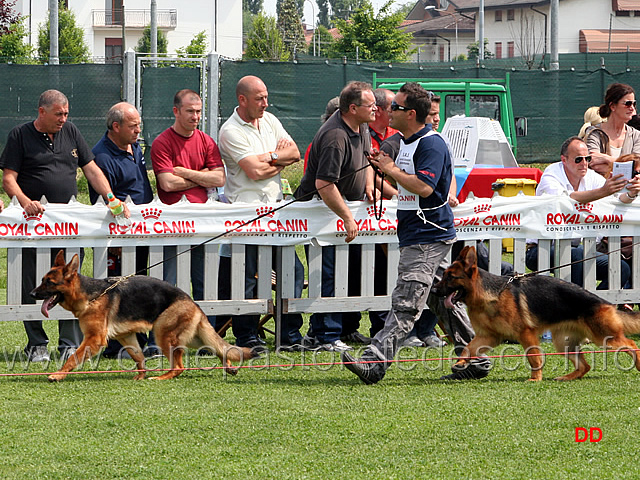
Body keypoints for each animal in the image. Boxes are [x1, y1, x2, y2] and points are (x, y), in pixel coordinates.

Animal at [29, 251, 255, 382]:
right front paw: (140, 376)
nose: (31, 294)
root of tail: (193, 303)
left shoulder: (94, 339)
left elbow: (73, 357)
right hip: (193, 338)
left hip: (163, 332)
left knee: (179, 366)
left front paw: (58, 375)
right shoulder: (126, 336)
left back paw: (162, 378)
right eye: (42, 280)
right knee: (219, 348)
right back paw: (229, 366)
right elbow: (138, 357)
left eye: (49, 282)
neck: (91, 295)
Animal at [430, 246, 640, 380]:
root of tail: (605, 302)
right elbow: (469, 347)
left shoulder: (526, 334)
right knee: (585, 365)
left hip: (604, 337)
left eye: (451, 277)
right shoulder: (489, 337)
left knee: (631, 344)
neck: (490, 295)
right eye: (444, 276)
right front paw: (460, 362)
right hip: (563, 344)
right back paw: (566, 377)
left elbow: (534, 357)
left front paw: (535, 378)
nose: (432, 290)